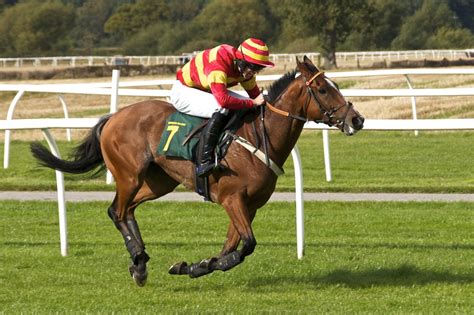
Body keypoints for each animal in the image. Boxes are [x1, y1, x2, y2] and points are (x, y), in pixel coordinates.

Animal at [31, 56, 364, 286]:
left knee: (129, 211)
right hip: (129, 175)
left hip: (158, 182)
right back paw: (138, 259)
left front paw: (195, 266)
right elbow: (247, 245)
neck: (259, 136)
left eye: (335, 86)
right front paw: (197, 265)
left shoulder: (249, 205)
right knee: (117, 210)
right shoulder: (232, 199)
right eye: (322, 89)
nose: (357, 119)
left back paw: (141, 263)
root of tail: (113, 117)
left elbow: (232, 248)